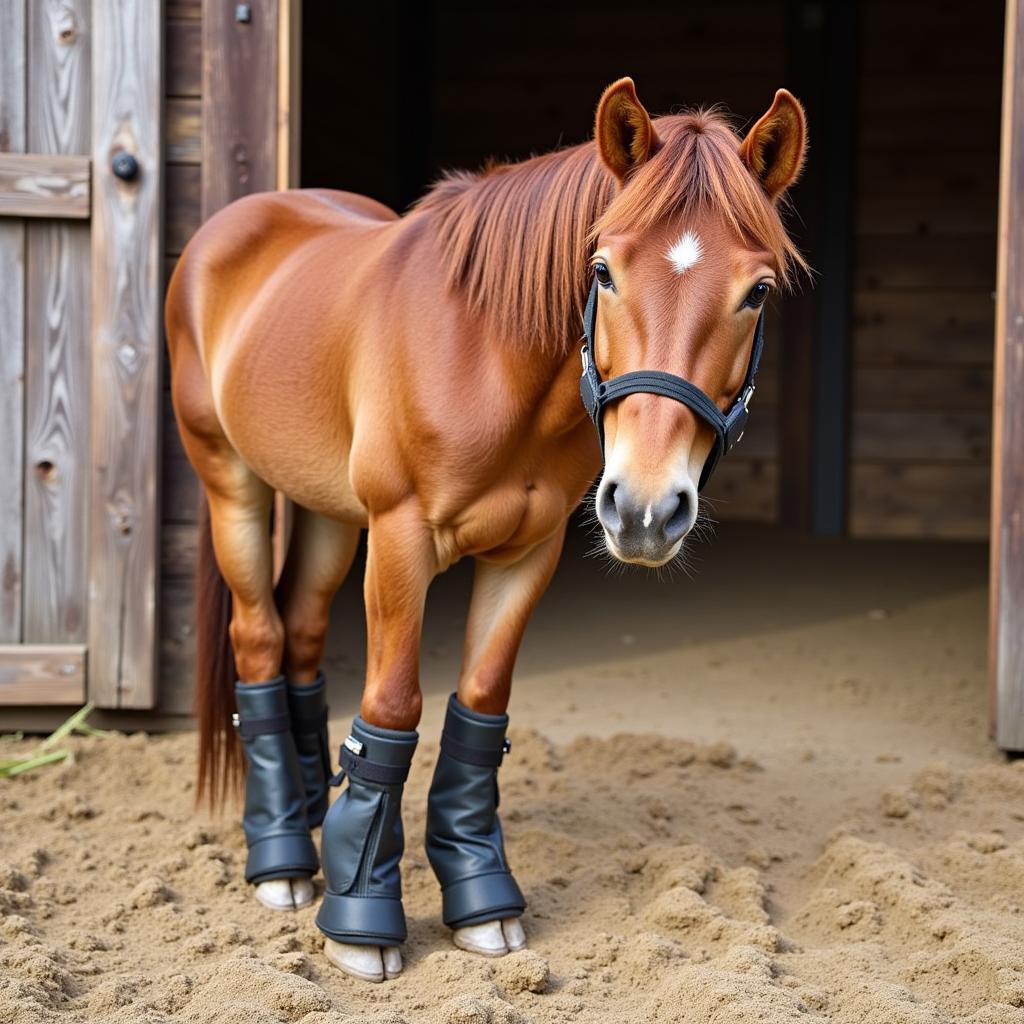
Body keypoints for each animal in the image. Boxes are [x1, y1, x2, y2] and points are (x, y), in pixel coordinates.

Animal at [165, 77, 806, 983]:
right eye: (602, 270)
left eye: (757, 292)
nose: (647, 510)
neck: (489, 355)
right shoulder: (400, 540)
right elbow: (393, 706)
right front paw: (362, 916)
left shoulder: (528, 554)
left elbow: (479, 707)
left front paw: (478, 895)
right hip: (234, 484)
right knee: (258, 639)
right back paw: (284, 858)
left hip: (328, 511)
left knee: (301, 635)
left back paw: (311, 821)